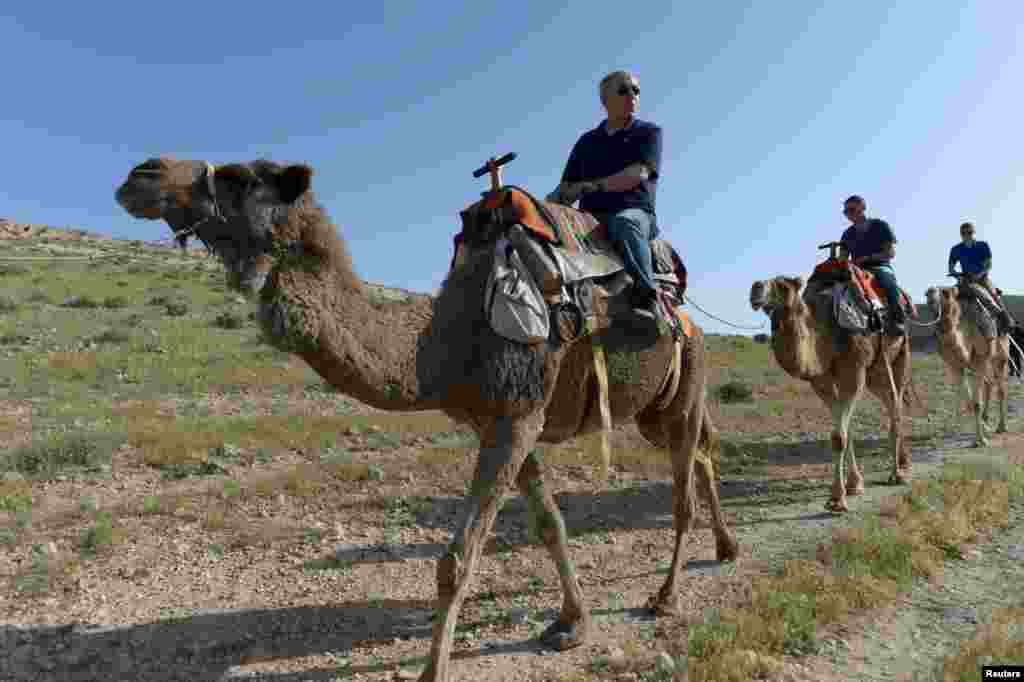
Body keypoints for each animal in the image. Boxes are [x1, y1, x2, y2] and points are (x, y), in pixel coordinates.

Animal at [116, 155, 737, 679]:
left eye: (241, 178)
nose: (141, 174)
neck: (443, 343)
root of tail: (686, 311)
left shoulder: (516, 419)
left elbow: (457, 560)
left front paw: (433, 670)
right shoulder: (504, 422)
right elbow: (550, 525)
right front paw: (571, 622)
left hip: (686, 378)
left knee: (683, 488)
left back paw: (666, 596)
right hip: (654, 408)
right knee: (700, 453)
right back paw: (726, 549)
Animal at [745, 272, 913, 509]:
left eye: (783, 285)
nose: (756, 288)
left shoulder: (854, 370)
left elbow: (840, 435)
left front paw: (837, 499)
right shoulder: (821, 380)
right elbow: (844, 431)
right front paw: (853, 485)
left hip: (898, 356)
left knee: (895, 407)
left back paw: (897, 474)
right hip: (874, 373)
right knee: (891, 403)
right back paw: (903, 464)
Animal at [925, 284, 1003, 444]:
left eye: (945, 293)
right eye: (927, 294)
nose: (930, 294)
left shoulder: (979, 361)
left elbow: (976, 403)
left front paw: (981, 440)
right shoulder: (955, 366)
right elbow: (970, 403)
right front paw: (983, 432)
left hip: (1000, 355)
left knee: (1000, 389)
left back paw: (1001, 427)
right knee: (989, 384)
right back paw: (987, 420)